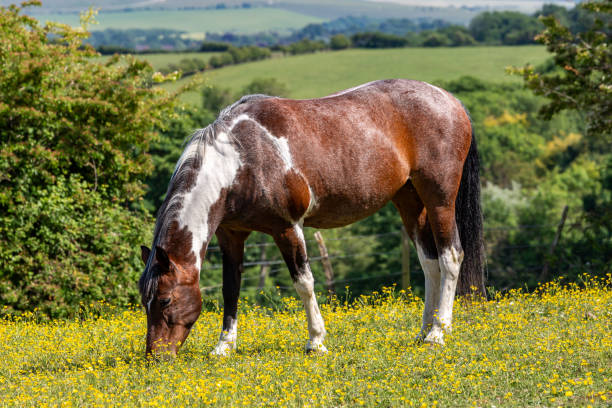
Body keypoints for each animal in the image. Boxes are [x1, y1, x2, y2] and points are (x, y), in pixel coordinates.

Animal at [137, 78, 482, 356]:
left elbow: (304, 282)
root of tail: (450, 100)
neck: (240, 160)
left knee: (451, 256)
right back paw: (424, 331)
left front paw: (316, 341)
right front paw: (224, 346)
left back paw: (439, 332)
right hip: (409, 200)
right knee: (430, 263)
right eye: (144, 300)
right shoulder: (231, 235)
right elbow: (230, 288)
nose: (156, 356)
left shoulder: (287, 228)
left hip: (439, 200)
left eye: (165, 300)